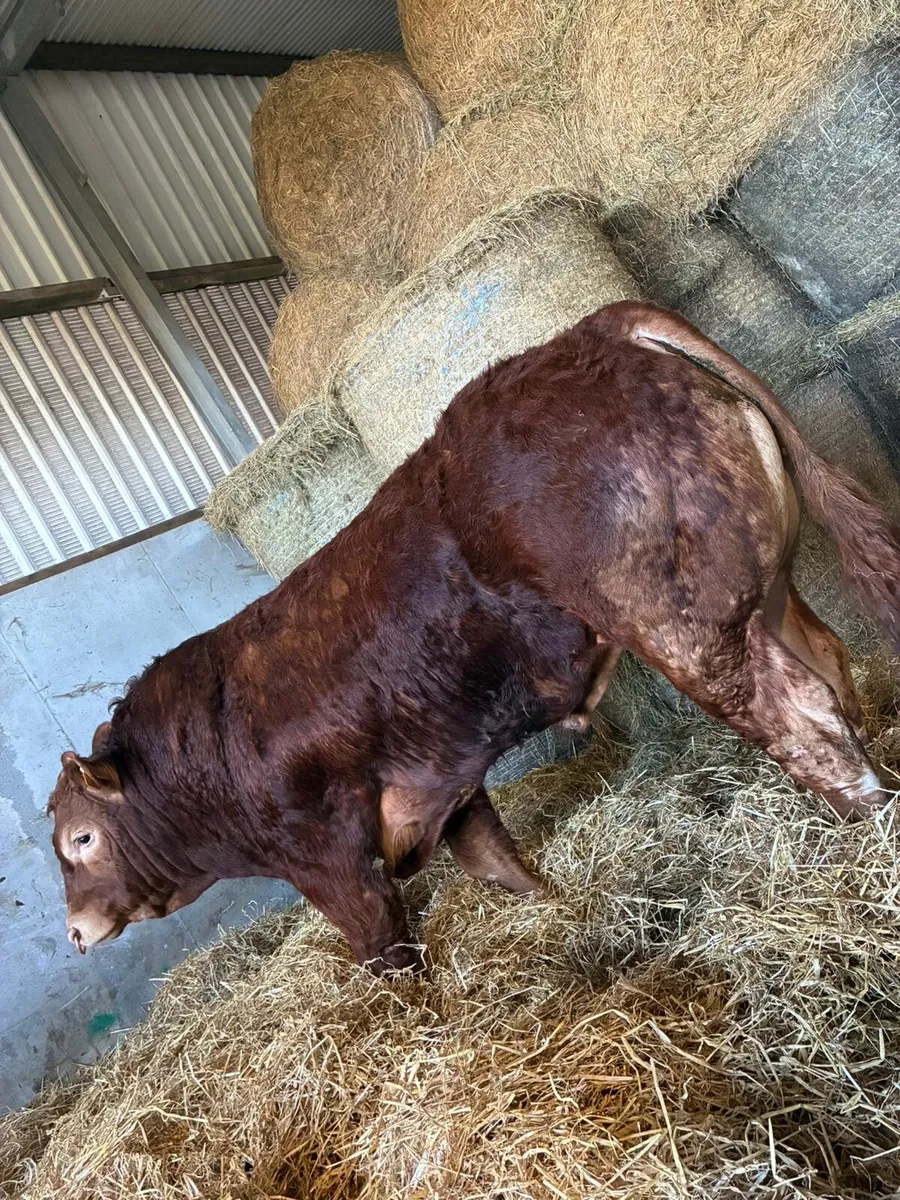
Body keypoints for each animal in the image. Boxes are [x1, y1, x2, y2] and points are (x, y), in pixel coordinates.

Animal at [47, 302, 900, 974]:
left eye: (81, 839)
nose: (76, 931)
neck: (208, 757)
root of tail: (588, 331)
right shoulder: (441, 788)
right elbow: (499, 865)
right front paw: (554, 907)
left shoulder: (331, 861)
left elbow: (387, 953)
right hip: (765, 594)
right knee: (830, 662)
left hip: (689, 630)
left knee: (798, 711)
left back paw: (866, 825)